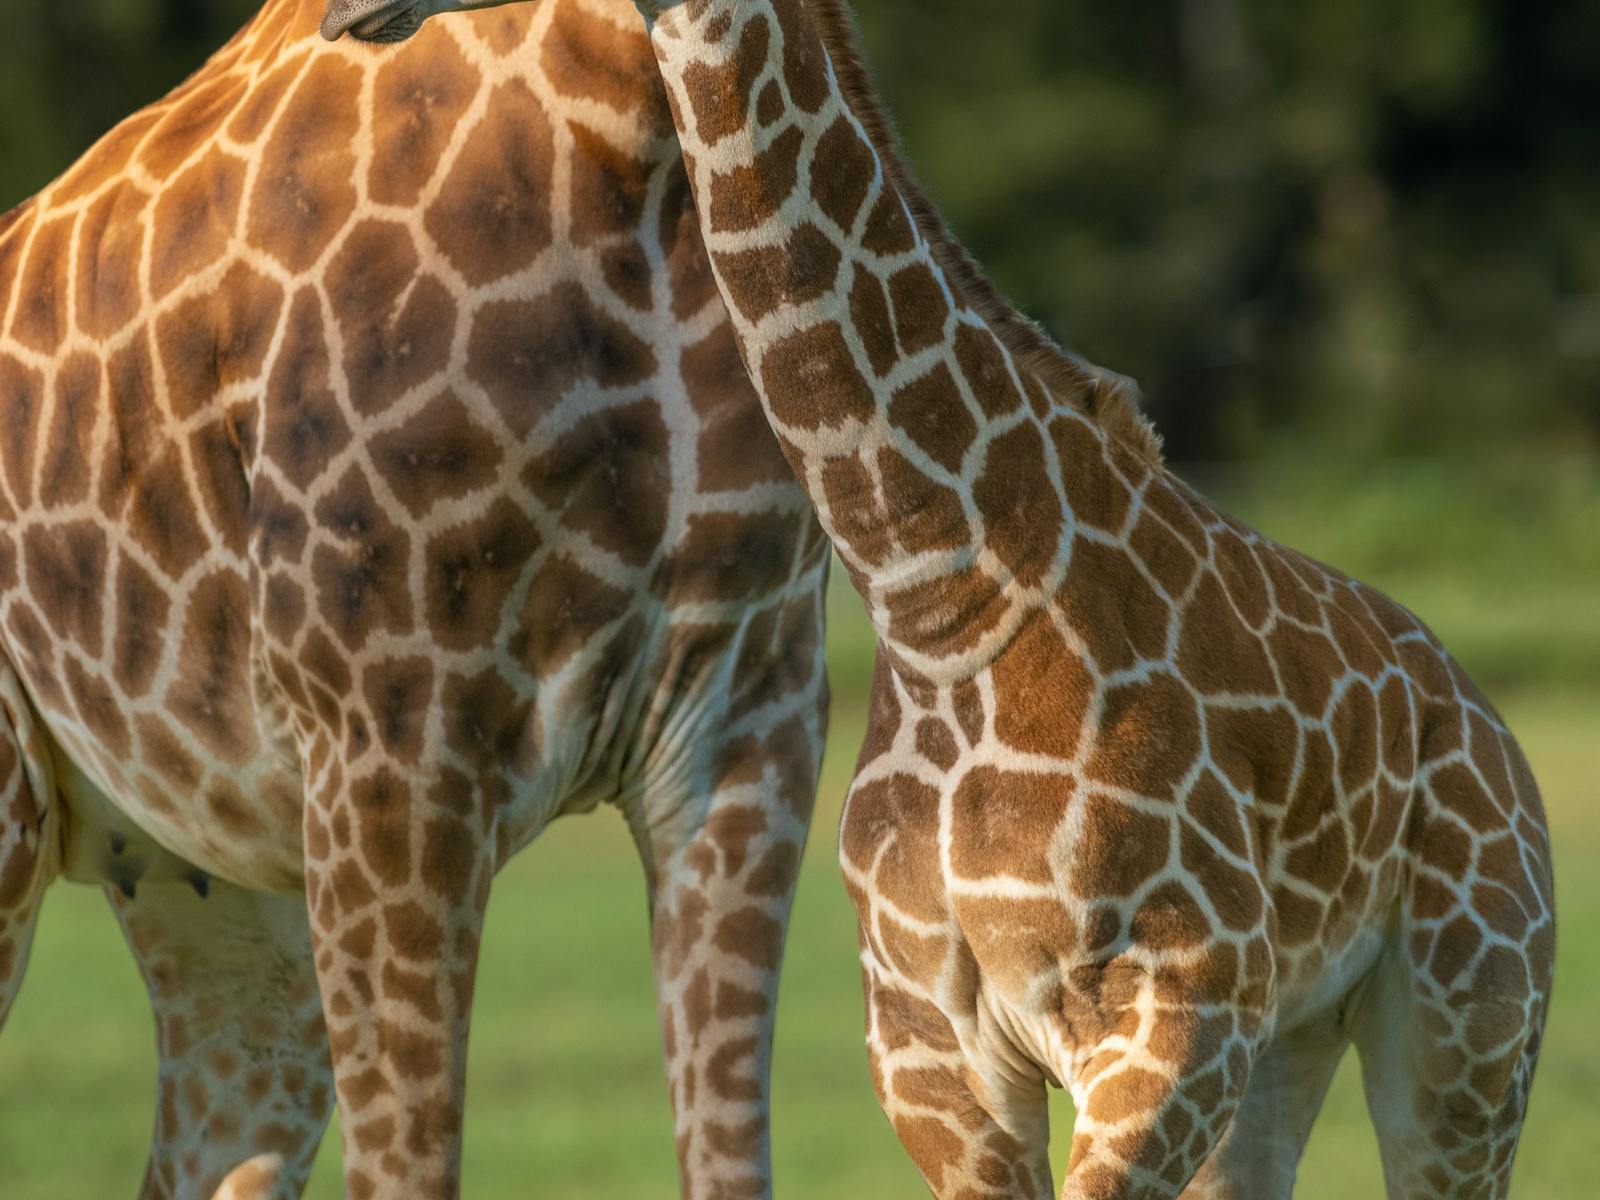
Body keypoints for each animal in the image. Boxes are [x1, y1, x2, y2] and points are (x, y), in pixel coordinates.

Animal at [324, 0, 1557, 1196]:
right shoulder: (931, 1051)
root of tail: (1491, 727)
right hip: (1290, 1039)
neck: (939, 594)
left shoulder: (1170, 1011)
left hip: (1470, 1026)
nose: (344, 16)